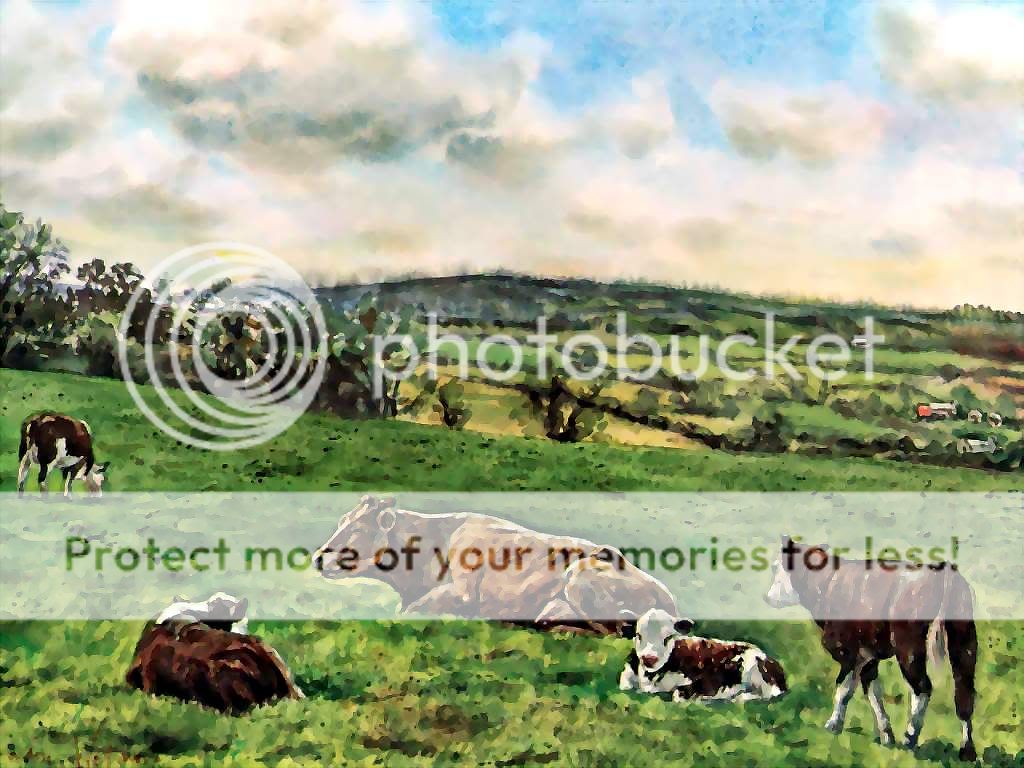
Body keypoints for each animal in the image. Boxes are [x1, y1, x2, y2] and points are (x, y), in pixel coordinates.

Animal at [313, 495, 679, 634]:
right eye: (342, 520)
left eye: (358, 529)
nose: (318, 557)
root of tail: (665, 595)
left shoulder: (460, 594)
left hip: (579, 579)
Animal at [614, 614, 790, 704]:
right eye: (638, 635)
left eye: (668, 637)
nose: (649, 658)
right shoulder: (628, 672)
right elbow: (625, 684)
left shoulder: (706, 681)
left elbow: (678, 694)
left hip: (755, 669)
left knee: (769, 694)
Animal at [770, 536, 974, 761]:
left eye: (775, 567)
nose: (767, 597)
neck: (828, 584)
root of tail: (943, 570)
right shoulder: (868, 656)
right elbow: (873, 690)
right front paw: (886, 735)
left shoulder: (848, 653)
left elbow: (843, 688)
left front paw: (833, 725)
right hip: (964, 643)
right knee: (964, 694)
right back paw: (967, 751)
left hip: (909, 648)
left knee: (922, 688)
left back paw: (910, 738)